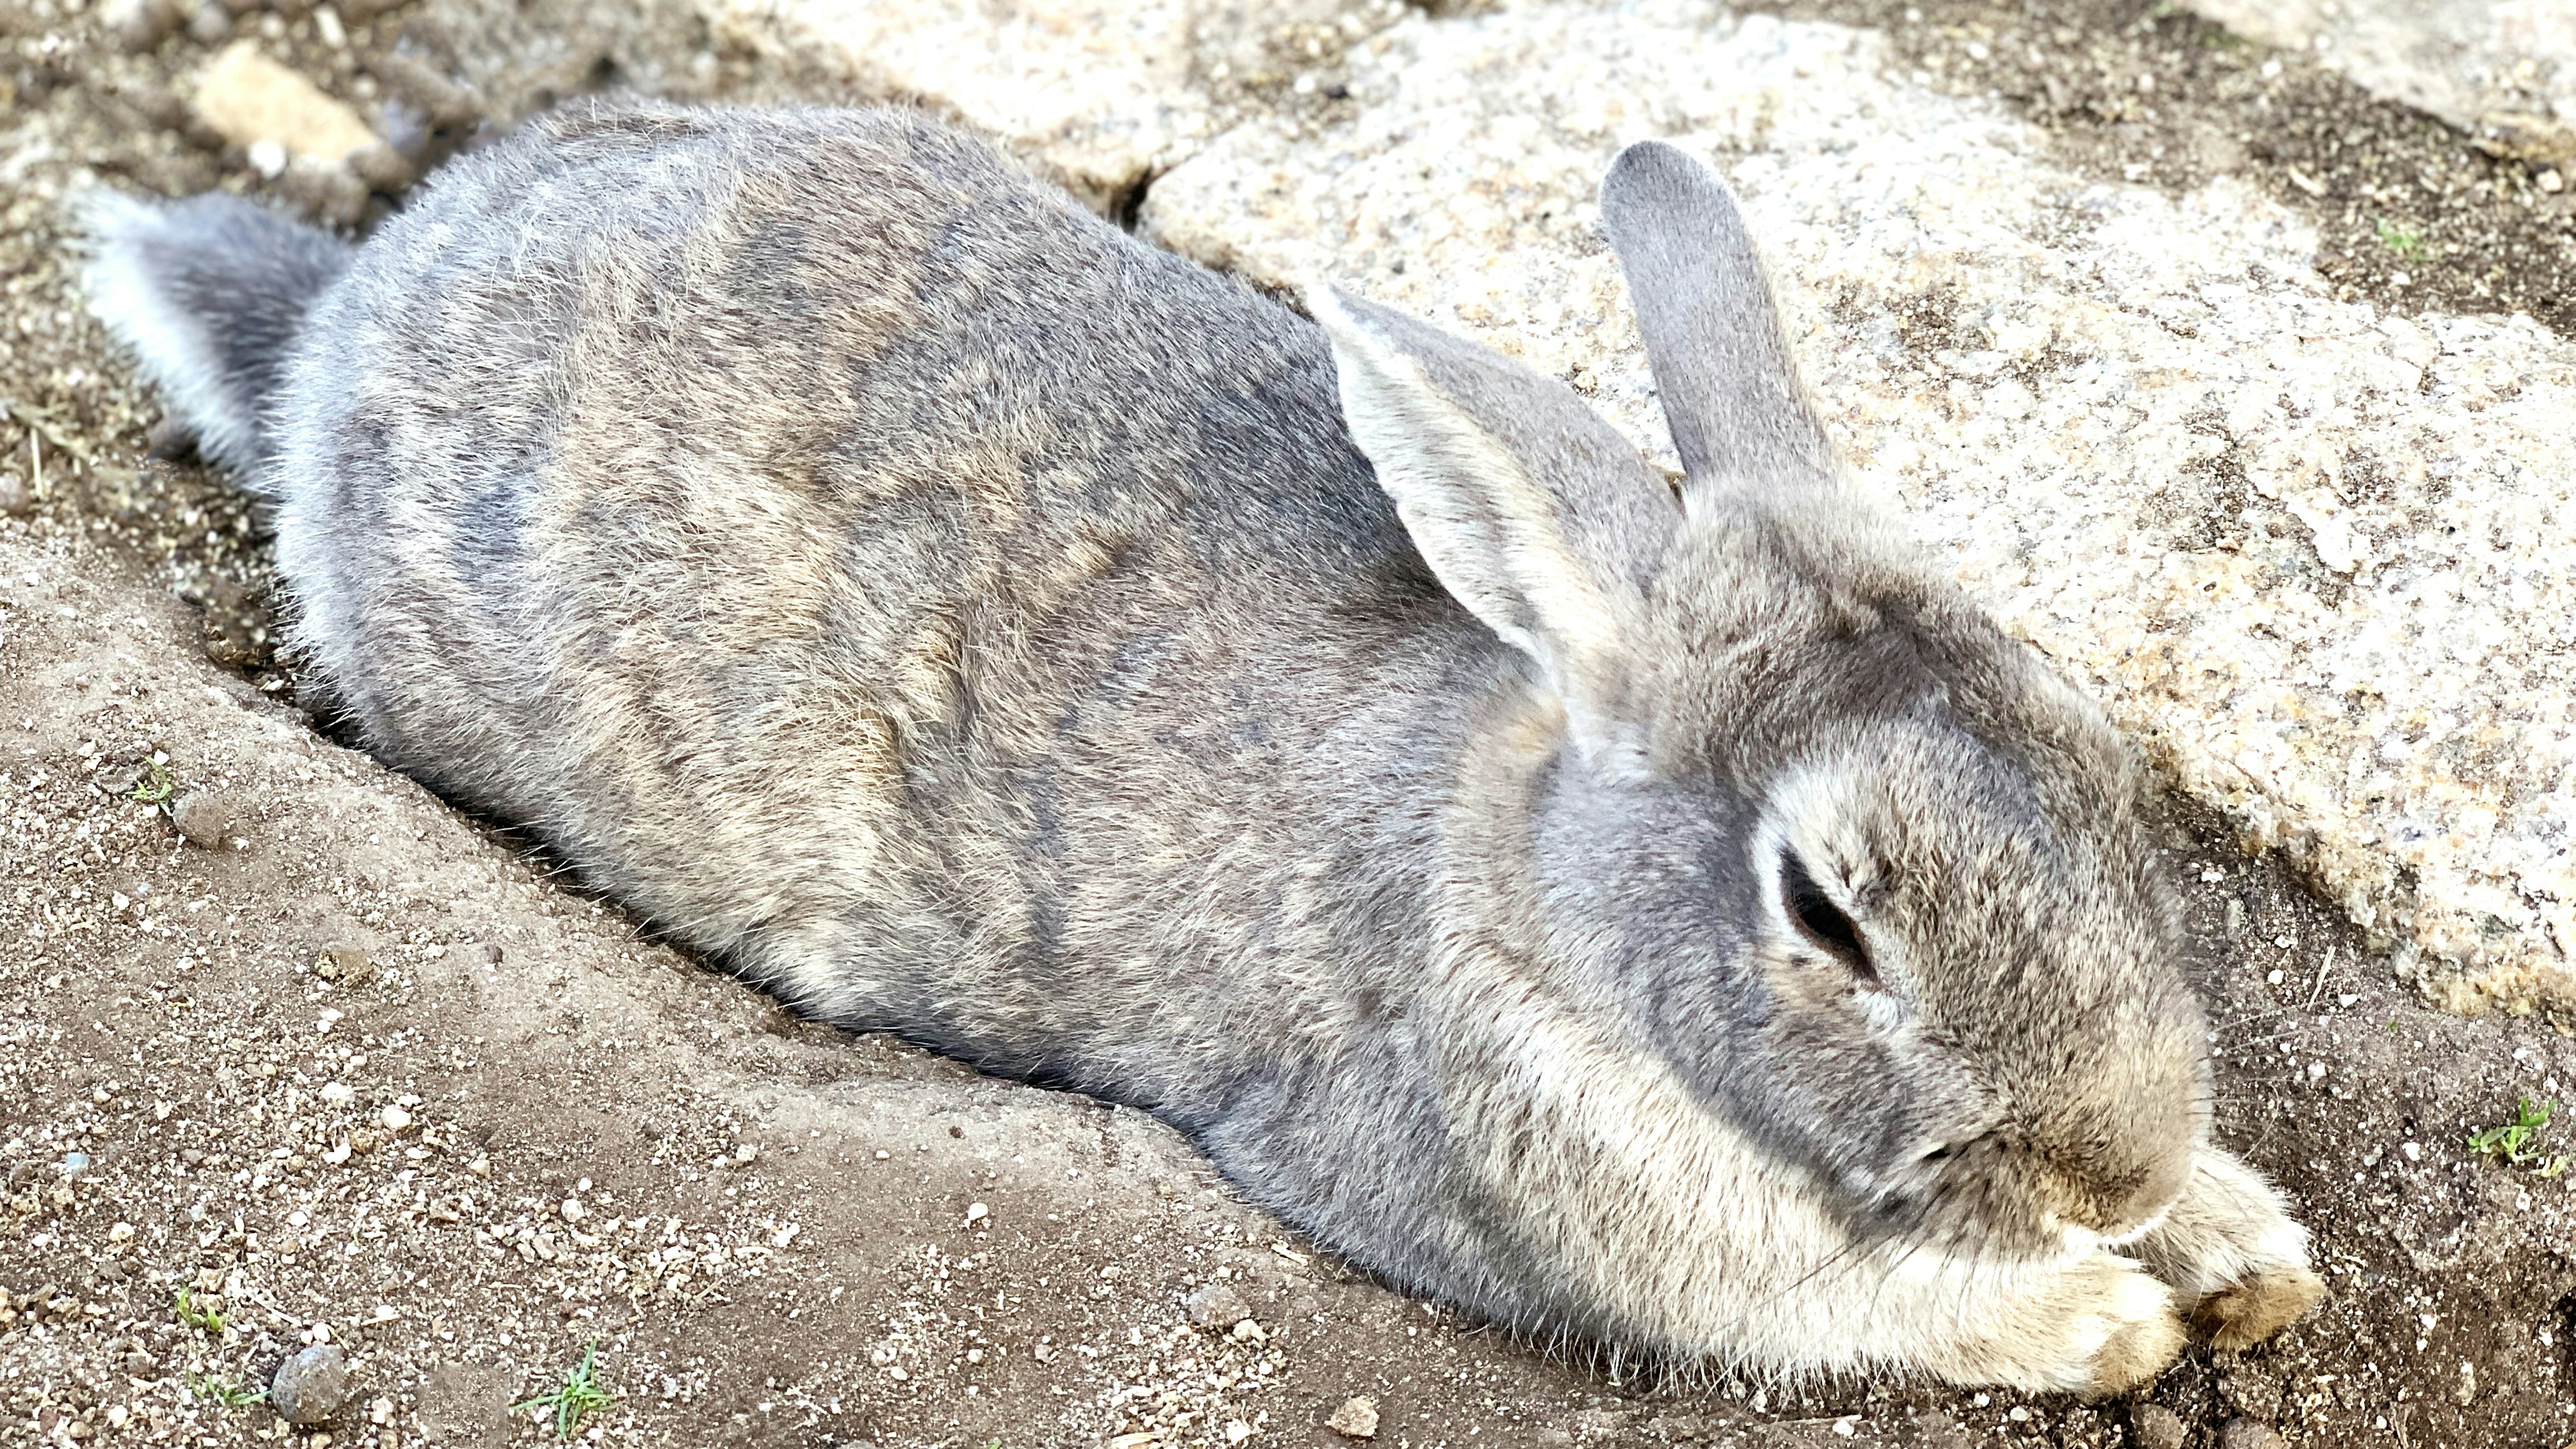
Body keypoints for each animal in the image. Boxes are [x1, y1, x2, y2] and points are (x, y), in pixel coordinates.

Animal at [91, 101, 2328, 1392]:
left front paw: (2233, 1242)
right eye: (1829, 912)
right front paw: (2108, 1313)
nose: (2114, 1159)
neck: (1524, 876)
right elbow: (1854, 1319)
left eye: (2092, 758)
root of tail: (345, 321)